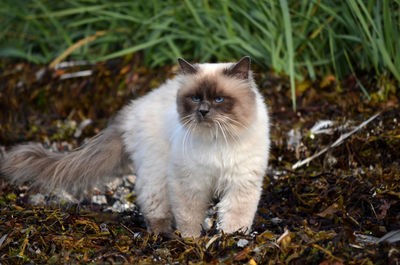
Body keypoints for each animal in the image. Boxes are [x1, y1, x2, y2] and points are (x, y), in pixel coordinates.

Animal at [1, 56, 270, 237]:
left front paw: (229, 241)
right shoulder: (189, 183)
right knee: (154, 207)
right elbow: (189, 219)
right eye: (195, 98)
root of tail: (133, 108)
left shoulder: (241, 183)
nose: (203, 111)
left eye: (219, 99)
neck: (218, 140)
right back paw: (162, 235)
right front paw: (192, 243)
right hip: (156, 172)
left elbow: (235, 219)